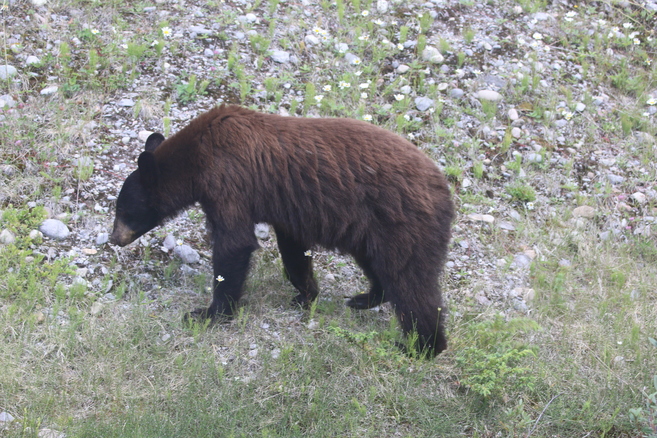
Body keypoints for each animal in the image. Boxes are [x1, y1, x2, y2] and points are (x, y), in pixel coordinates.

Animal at [110, 105, 454, 356]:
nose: (115, 239)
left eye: (123, 211)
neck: (197, 155)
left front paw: (210, 313)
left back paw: (422, 346)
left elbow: (234, 243)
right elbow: (293, 250)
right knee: (380, 267)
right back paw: (363, 299)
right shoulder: (287, 207)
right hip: (372, 230)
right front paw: (306, 295)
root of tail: (444, 188)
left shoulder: (228, 178)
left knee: (410, 282)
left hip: (402, 222)